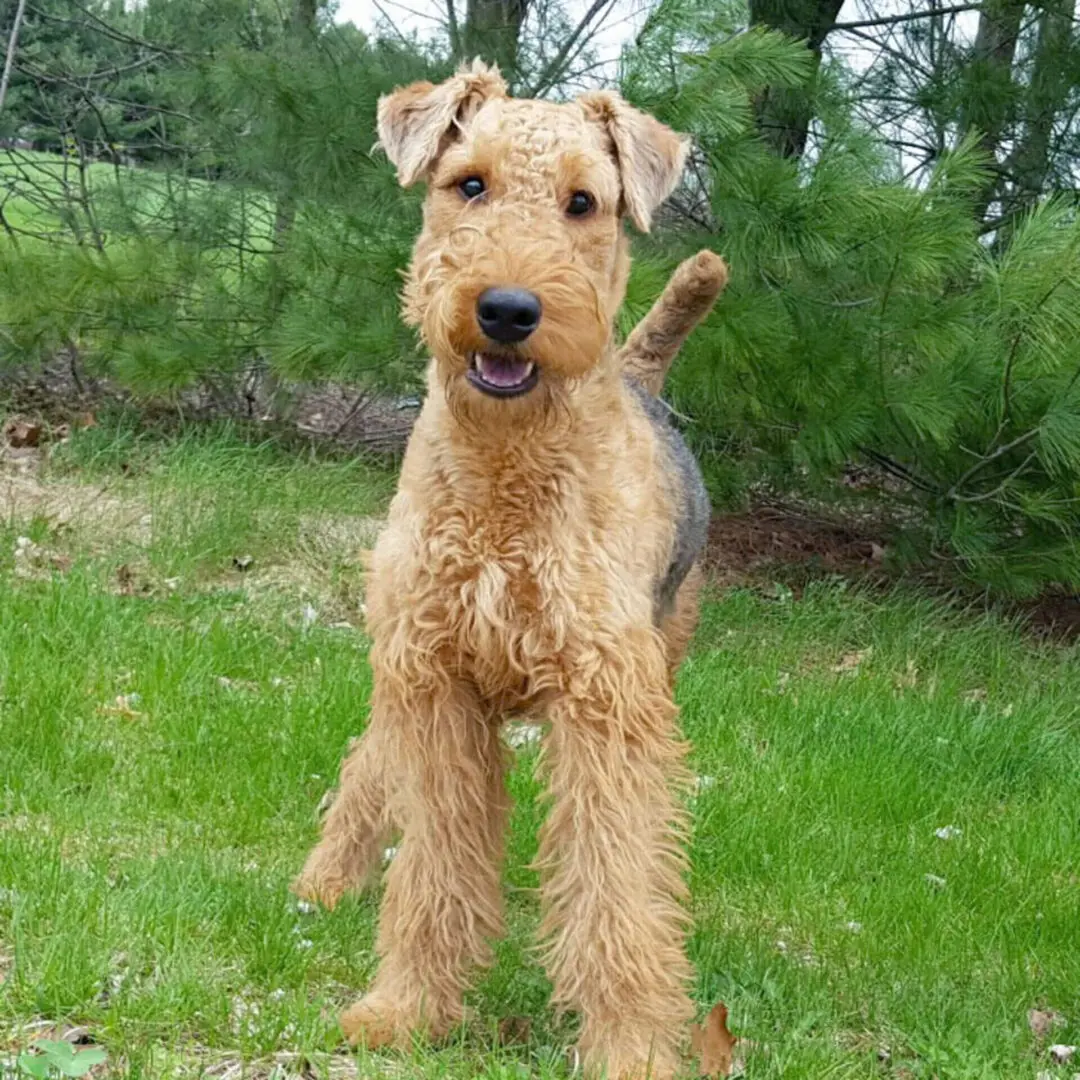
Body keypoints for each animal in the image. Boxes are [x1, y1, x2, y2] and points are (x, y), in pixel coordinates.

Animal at [293, 61, 725, 1080]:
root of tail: (645, 379)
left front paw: (632, 1047)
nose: (509, 311)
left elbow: (617, 888)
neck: (505, 481)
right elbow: (435, 868)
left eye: (583, 203)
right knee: (370, 763)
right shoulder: (437, 685)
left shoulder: (608, 706)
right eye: (469, 184)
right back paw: (326, 880)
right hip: (399, 665)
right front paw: (406, 1009)